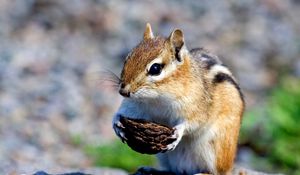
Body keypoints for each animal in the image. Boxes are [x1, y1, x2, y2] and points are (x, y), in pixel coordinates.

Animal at [112, 23, 244, 175]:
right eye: (127, 58)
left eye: (155, 68)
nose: (123, 91)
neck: (156, 99)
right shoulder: (134, 106)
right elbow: (122, 113)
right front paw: (116, 123)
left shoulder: (196, 105)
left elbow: (194, 122)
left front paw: (178, 132)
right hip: (164, 157)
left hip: (216, 148)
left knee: (218, 172)